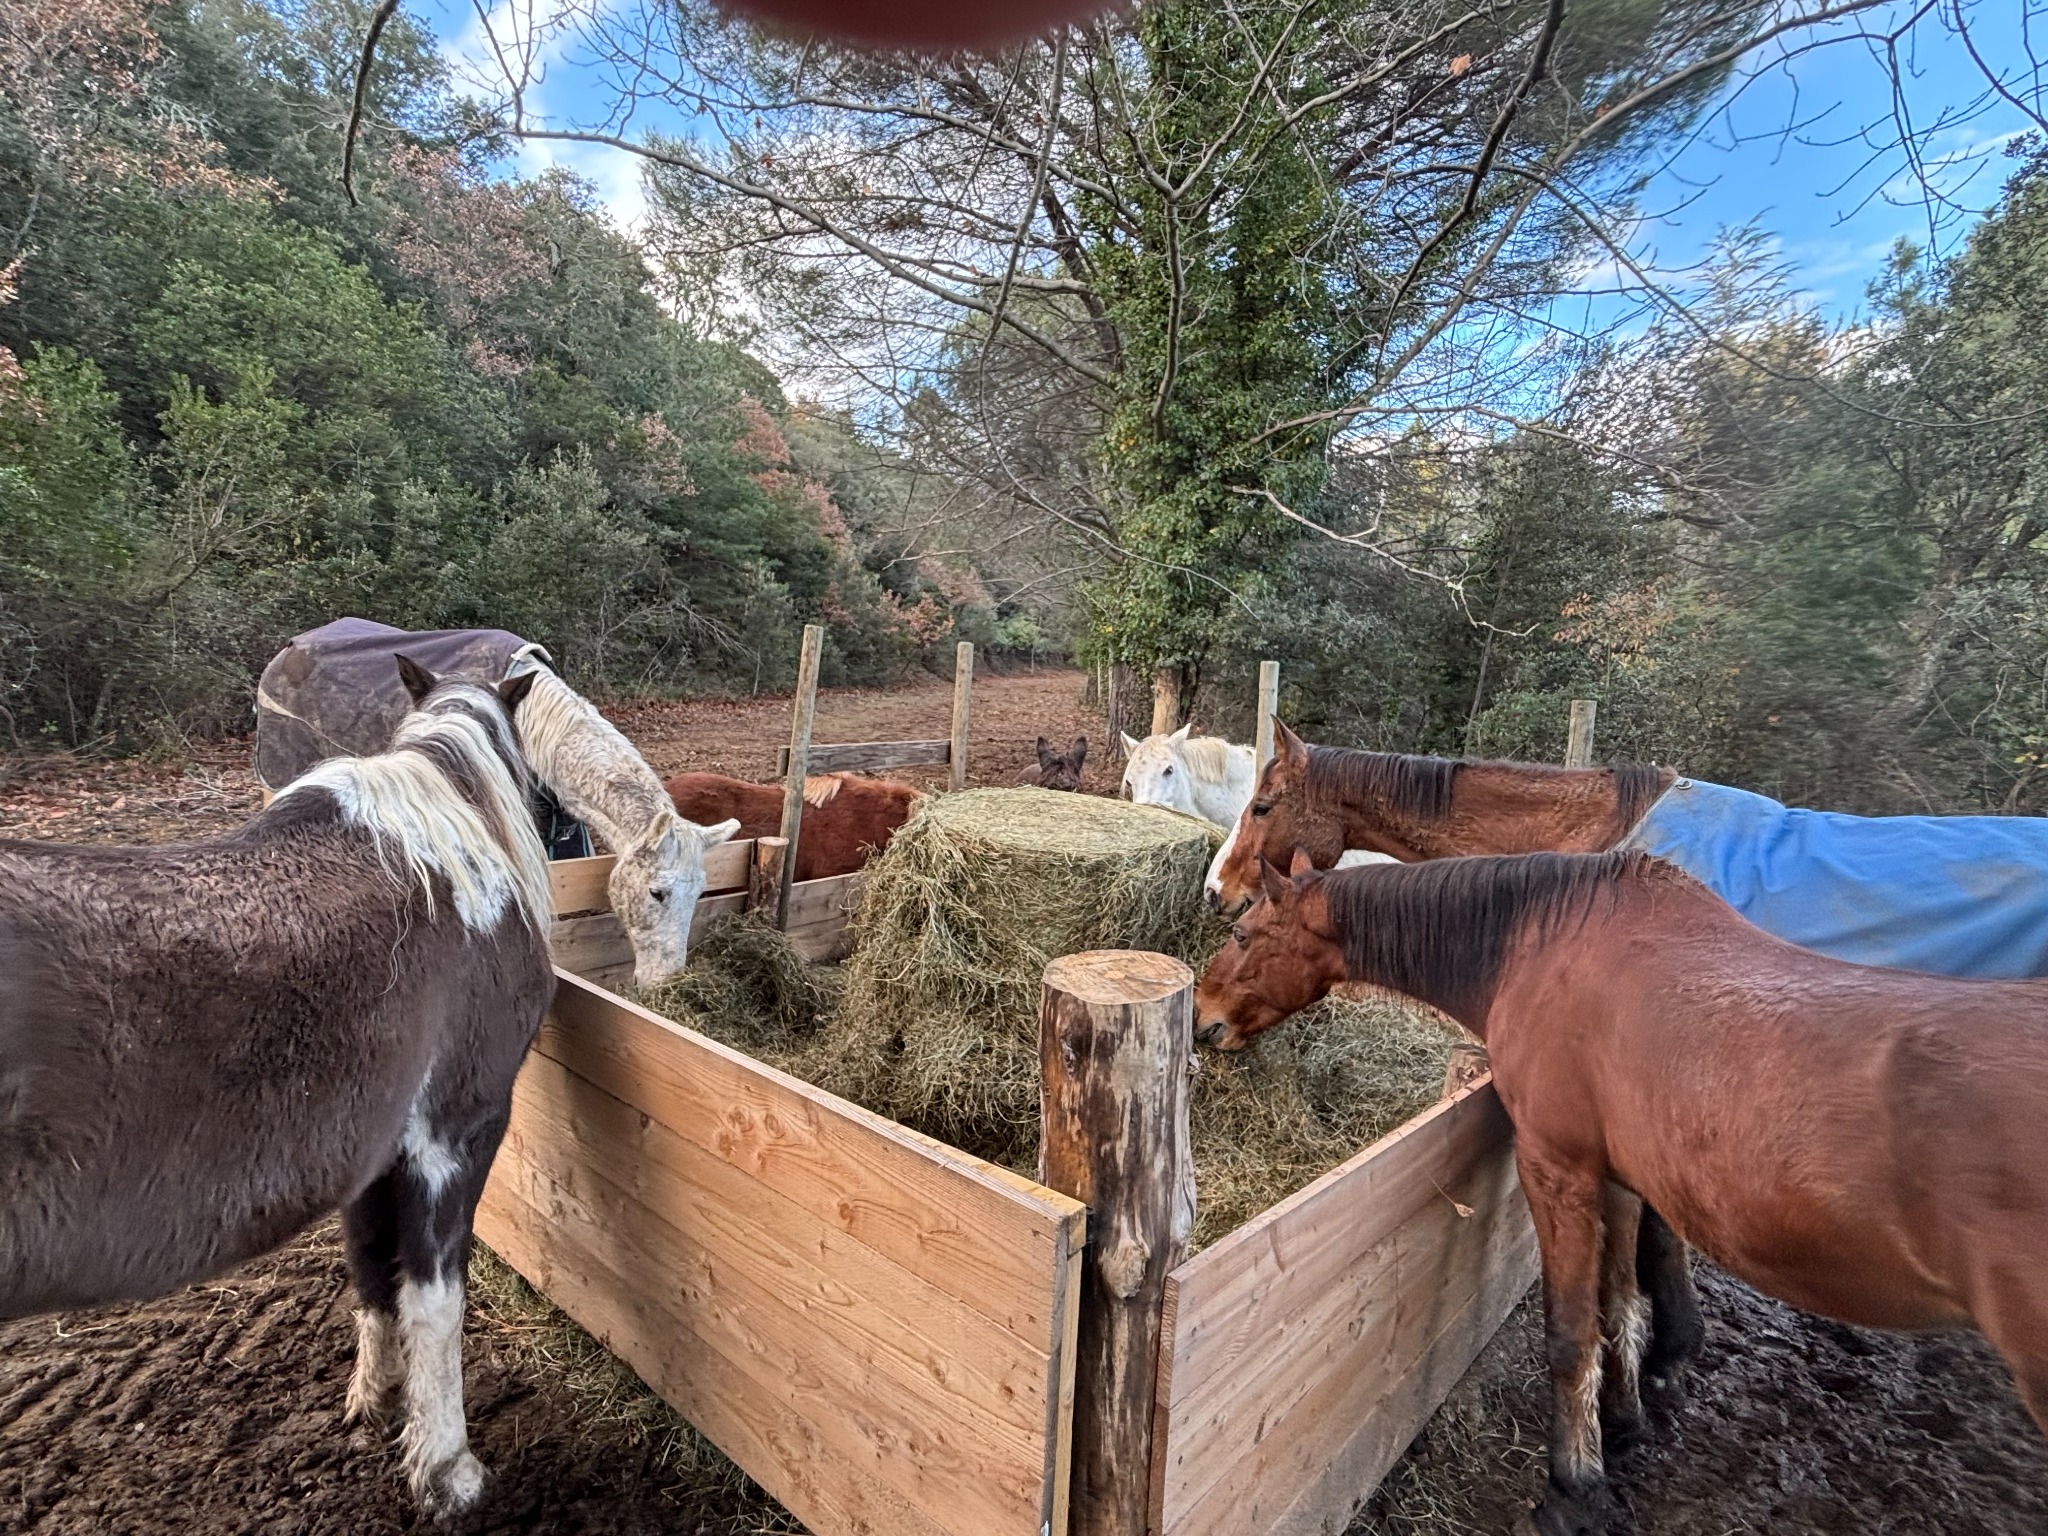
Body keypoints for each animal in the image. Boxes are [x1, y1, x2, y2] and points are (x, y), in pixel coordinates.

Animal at [1, 656, 555, 1518]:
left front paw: (378, 1399)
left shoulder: (375, 1148)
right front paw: (447, 1470)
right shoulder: (454, 1135)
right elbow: (436, 1299)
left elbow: (371, 1270)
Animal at [1194, 849, 2048, 1536]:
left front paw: (1574, 1487)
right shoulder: (1618, 1175)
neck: (1539, 946)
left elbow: (1572, 1331)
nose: (1202, 1022)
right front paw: (1628, 1420)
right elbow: (1625, 1302)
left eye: (1242, 937)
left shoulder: (1556, 1168)